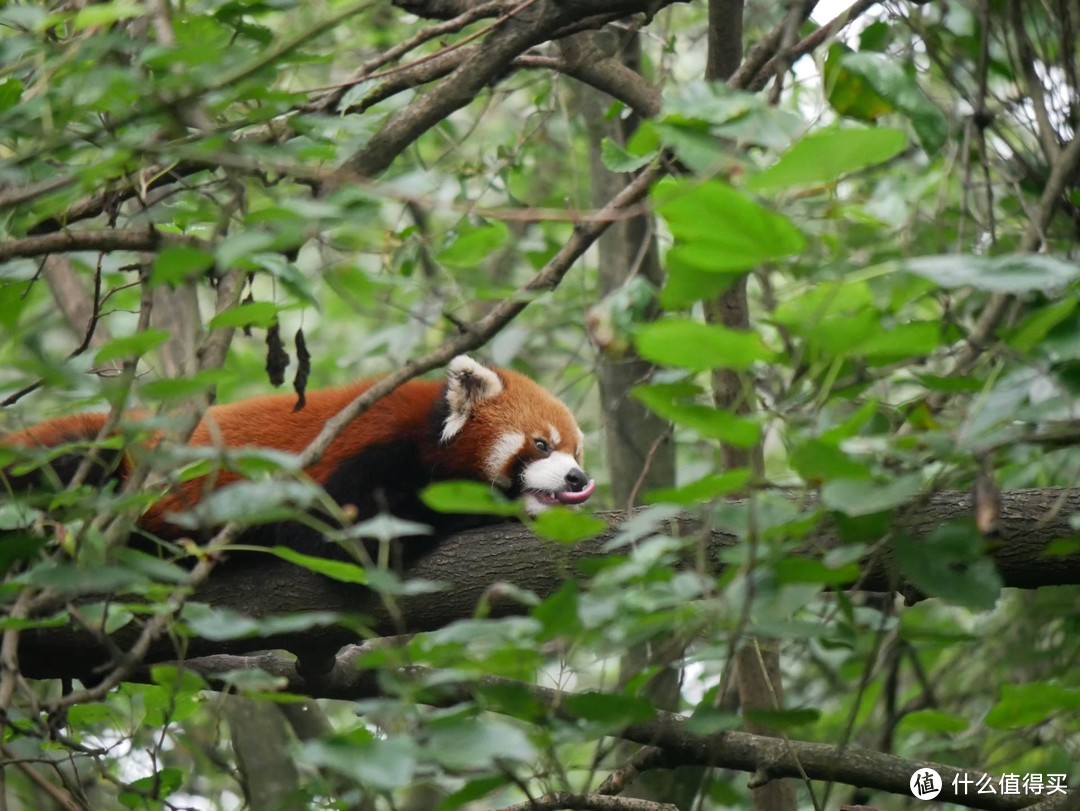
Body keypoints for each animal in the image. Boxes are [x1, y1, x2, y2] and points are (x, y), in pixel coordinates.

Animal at [0, 358, 596, 561]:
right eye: (541, 445)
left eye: (576, 449)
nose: (577, 477)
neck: (426, 432)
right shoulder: (372, 452)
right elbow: (339, 536)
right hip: (107, 455)